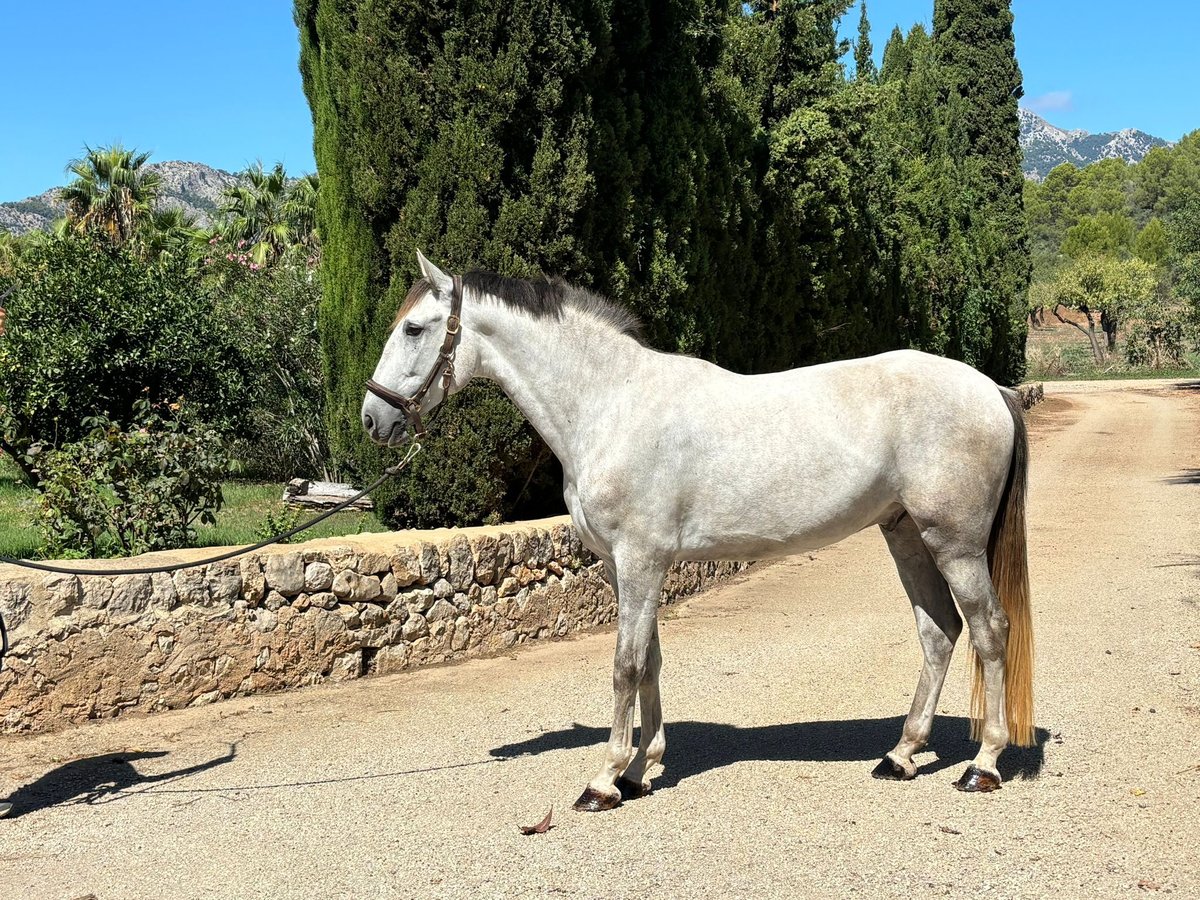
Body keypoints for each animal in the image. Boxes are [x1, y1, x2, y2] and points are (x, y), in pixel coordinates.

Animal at [362, 252, 1032, 811]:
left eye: (414, 328)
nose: (373, 419)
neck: (611, 404)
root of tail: (991, 388)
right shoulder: (626, 566)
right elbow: (651, 660)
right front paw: (639, 771)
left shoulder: (639, 560)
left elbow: (625, 665)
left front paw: (603, 780)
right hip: (906, 535)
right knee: (940, 632)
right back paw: (901, 755)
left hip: (954, 544)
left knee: (989, 630)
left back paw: (983, 764)